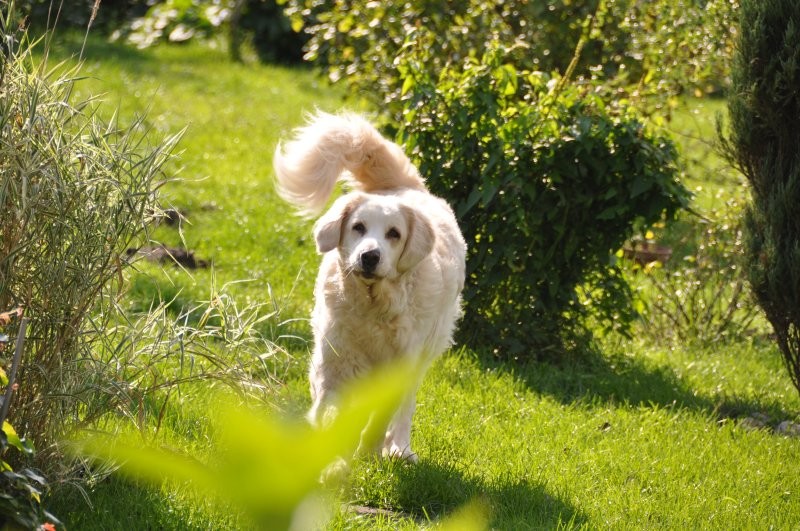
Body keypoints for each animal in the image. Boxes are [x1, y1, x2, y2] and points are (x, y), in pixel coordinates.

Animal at [274, 112, 466, 462]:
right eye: (358, 227)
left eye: (394, 234)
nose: (370, 256)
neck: (373, 307)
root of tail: (406, 186)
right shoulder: (336, 363)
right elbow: (330, 411)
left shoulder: (397, 371)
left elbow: (382, 417)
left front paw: (370, 448)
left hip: (424, 354)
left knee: (406, 407)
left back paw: (400, 449)